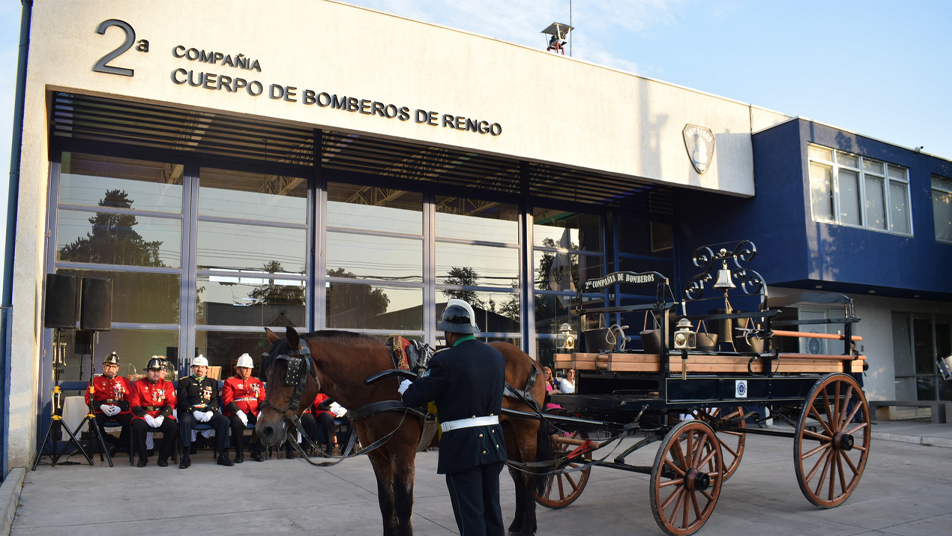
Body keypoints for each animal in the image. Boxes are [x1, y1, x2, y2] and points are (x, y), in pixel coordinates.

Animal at [255, 326, 552, 536]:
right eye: (266, 372)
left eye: (291, 373)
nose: (265, 429)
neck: (376, 383)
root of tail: (532, 361)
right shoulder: (377, 453)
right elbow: (386, 504)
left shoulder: (403, 451)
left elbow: (403, 502)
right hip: (506, 430)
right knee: (517, 475)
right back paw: (517, 523)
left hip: (526, 429)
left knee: (530, 475)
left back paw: (528, 527)